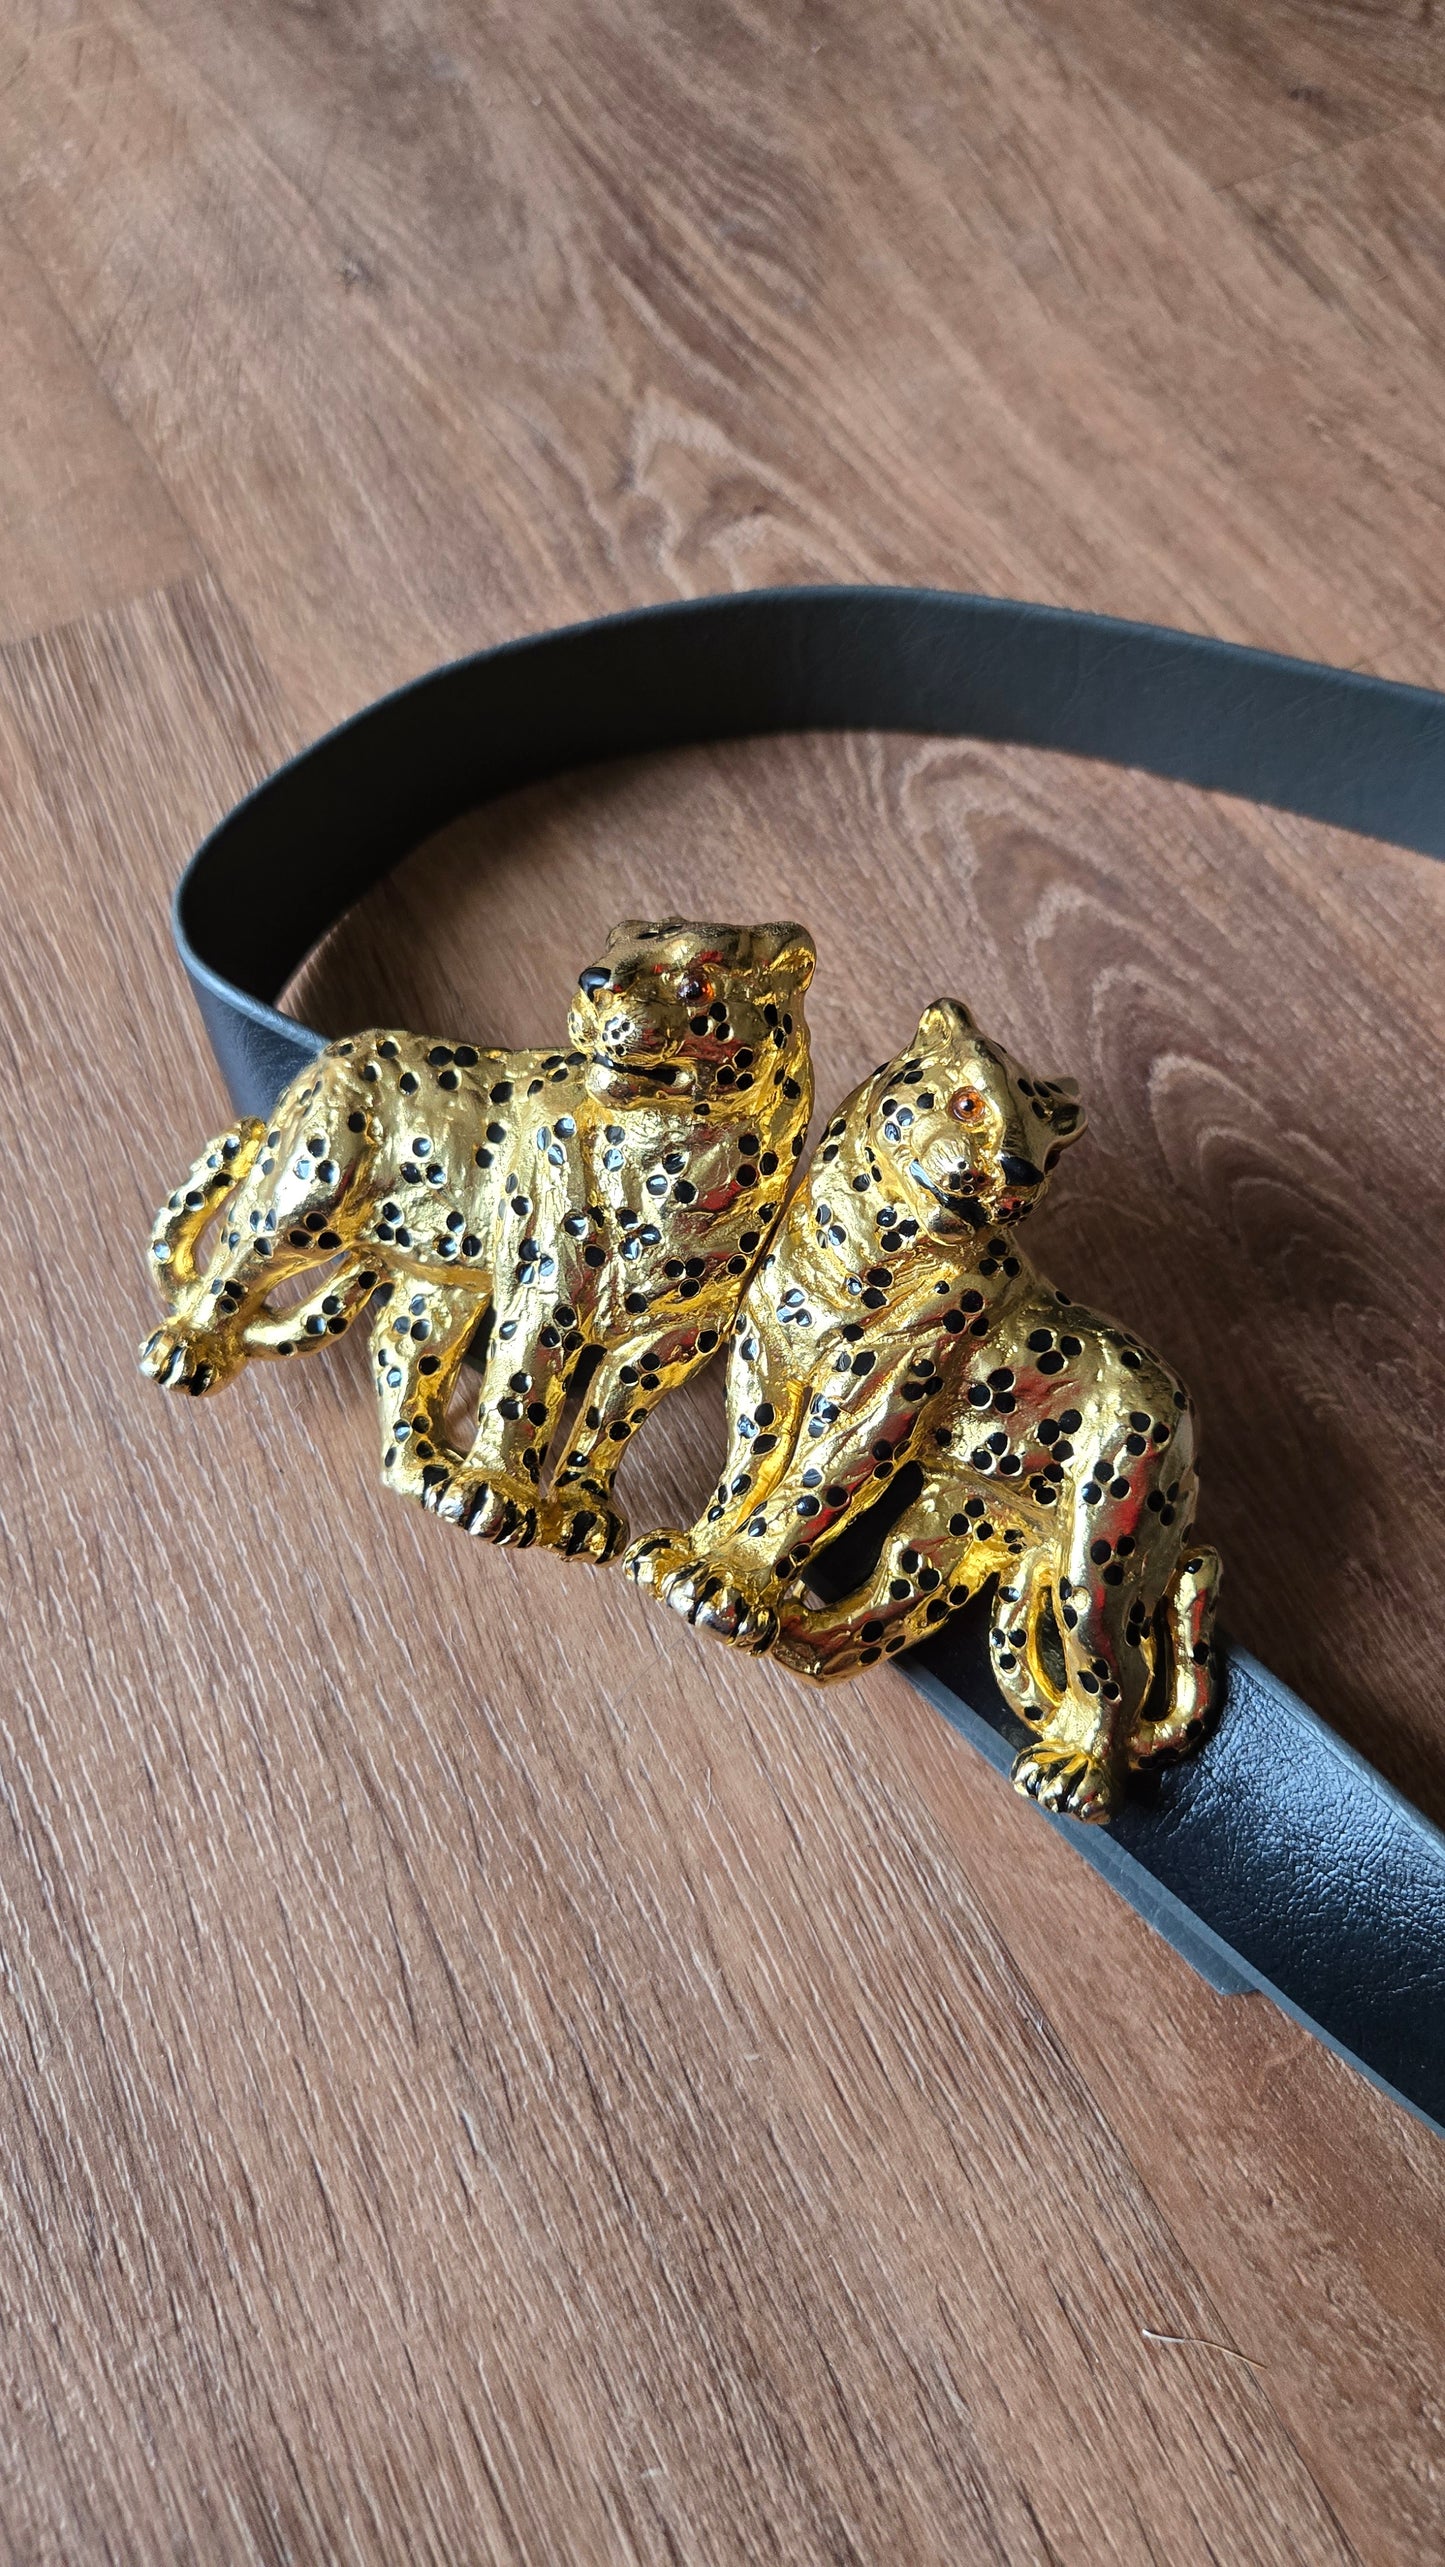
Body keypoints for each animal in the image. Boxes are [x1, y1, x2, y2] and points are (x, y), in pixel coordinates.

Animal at [140, 916, 815, 1561]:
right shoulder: (546, 1288)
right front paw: (496, 1491)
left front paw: (582, 1510)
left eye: (694, 985)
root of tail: (338, 1046)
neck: (684, 1165)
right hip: (311, 1193)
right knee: (240, 1255)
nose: (594, 983)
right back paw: (187, 1348)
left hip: (442, 1285)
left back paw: (428, 1469)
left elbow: (610, 1421)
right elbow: (523, 1386)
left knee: (398, 1349)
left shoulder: (675, 1334)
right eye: (615, 940)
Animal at [627, 995, 1220, 1821]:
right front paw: (696, 1556)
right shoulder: (763, 1367)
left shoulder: (876, 1398)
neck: (851, 1251)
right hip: (947, 1522)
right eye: (971, 1103)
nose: (1014, 1173)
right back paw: (797, 1636)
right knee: (888, 1604)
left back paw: (1074, 1774)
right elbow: (744, 1475)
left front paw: (729, 1582)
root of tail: (1184, 1426)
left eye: (1041, 1155)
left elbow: (805, 1495)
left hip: (1096, 1560)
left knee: (1119, 1676)